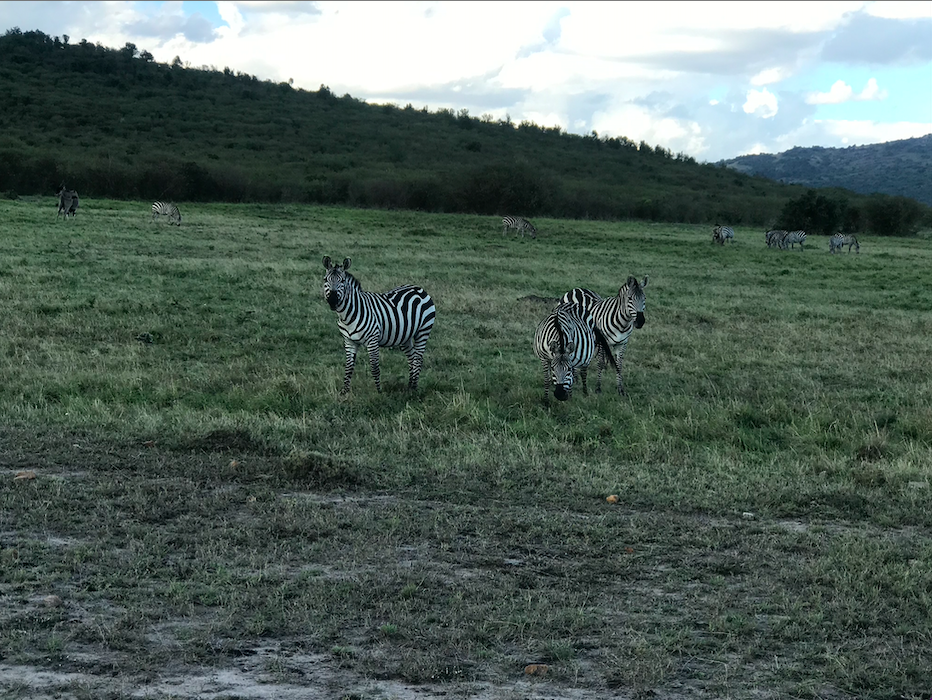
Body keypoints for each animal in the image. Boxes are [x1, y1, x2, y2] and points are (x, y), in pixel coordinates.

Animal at [322, 256, 436, 395]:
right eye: (325, 280)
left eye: (342, 281)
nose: (332, 301)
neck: (347, 316)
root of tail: (419, 288)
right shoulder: (349, 341)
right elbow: (348, 367)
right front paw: (345, 392)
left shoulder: (372, 340)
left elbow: (374, 367)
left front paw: (378, 392)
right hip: (406, 336)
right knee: (412, 357)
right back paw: (409, 386)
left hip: (423, 331)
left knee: (418, 358)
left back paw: (414, 388)